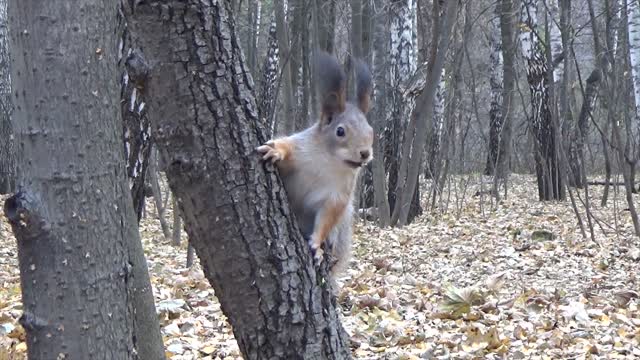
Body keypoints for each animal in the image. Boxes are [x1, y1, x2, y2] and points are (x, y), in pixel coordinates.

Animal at [256, 52, 372, 278]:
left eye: (371, 130)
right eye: (340, 131)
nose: (365, 153)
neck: (329, 161)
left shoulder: (338, 196)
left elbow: (327, 218)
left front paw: (317, 245)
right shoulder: (301, 148)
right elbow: (287, 148)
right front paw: (276, 151)